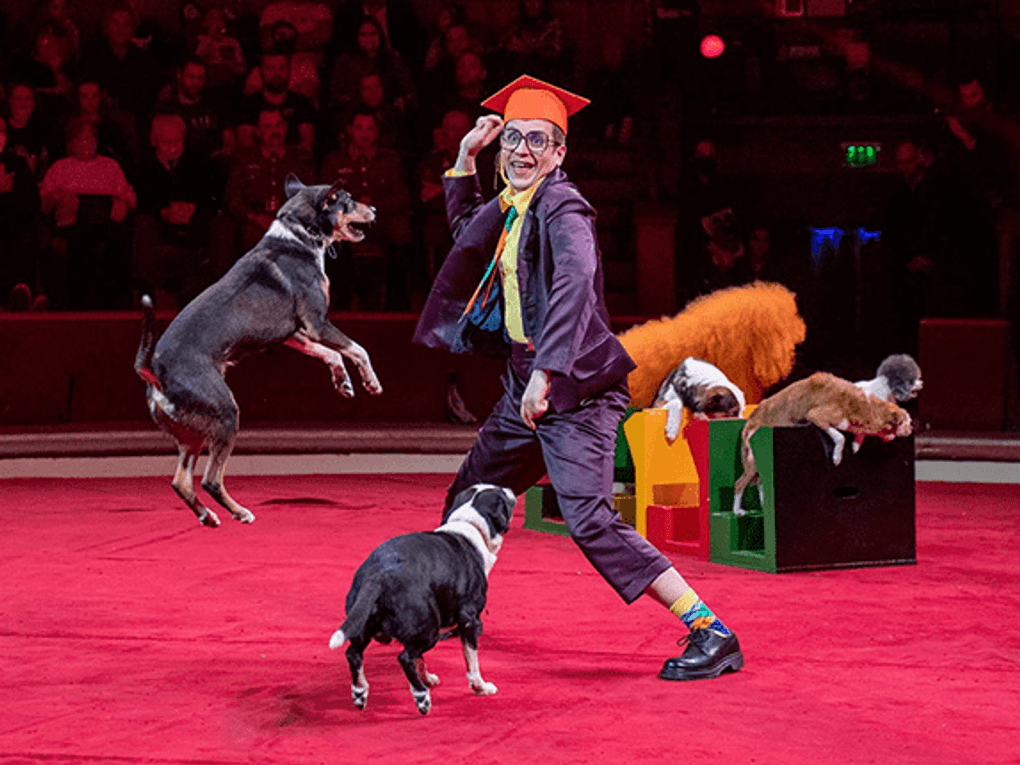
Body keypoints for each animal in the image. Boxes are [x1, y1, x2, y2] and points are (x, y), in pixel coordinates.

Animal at [328, 487, 514, 718]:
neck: (469, 522)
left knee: (354, 654)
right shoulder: (470, 621)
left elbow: (421, 658)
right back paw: (421, 697)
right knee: (404, 658)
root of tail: (378, 575)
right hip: (429, 630)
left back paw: (360, 692)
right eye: (502, 495)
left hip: (363, 621)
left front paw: (427, 677)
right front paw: (481, 687)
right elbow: (472, 662)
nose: (510, 490)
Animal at [730, 375, 913, 518]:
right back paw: (737, 510)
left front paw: (856, 444)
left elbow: (857, 434)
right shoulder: (817, 416)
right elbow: (840, 437)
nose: (912, 429)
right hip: (752, 461)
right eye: (907, 421)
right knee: (740, 483)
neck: (863, 406)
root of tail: (752, 417)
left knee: (761, 483)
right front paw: (837, 455)